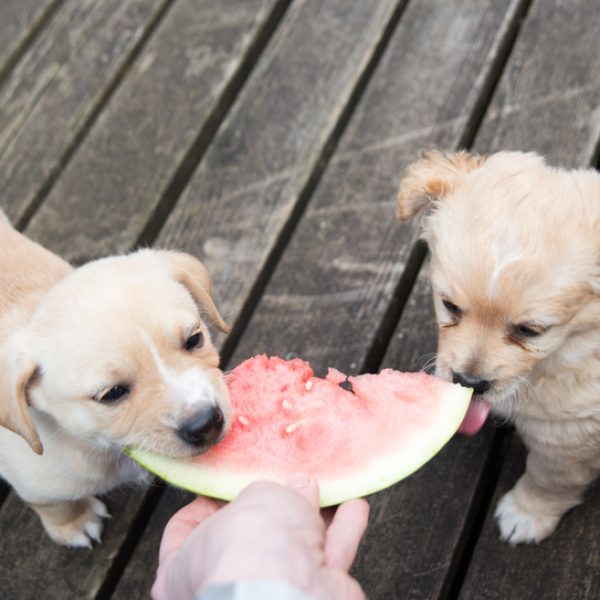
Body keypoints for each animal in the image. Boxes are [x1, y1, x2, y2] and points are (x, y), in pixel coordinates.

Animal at [0, 213, 230, 548]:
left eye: (194, 339)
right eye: (111, 394)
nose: (206, 423)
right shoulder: (36, 483)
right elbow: (54, 505)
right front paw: (76, 523)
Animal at [394, 150, 600, 544]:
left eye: (530, 331)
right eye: (450, 306)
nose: (469, 383)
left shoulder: (569, 435)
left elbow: (549, 478)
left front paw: (527, 514)